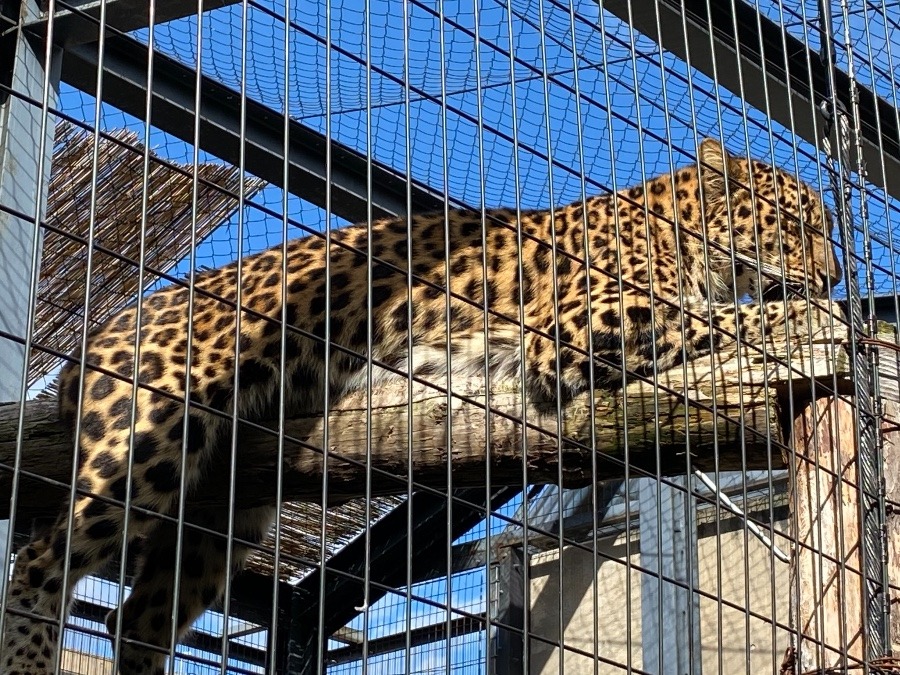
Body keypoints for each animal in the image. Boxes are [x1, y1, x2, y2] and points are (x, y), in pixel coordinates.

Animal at [0, 139, 844, 675]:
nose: (834, 275)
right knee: (42, 558)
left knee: (136, 621)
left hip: (223, 511)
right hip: (149, 434)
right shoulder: (581, 325)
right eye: (798, 225)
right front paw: (820, 317)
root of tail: (99, 334)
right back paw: (30, 653)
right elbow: (722, 319)